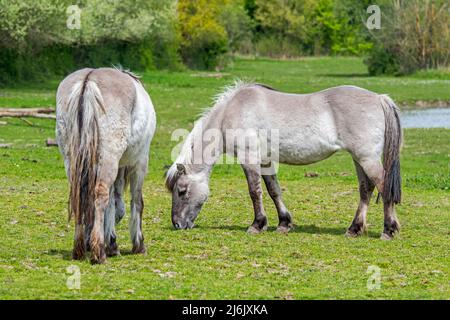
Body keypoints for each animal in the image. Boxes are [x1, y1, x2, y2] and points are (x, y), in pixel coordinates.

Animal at [56, 67, 156, 262]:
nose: (89, 243)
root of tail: (88, 81)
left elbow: (112, 204)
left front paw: (112, 244)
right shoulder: (139, 162)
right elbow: (136, 201)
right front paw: (137, 244)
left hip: (73, 161)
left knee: (79, 196)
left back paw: (80, 248)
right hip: (110, 159)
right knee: (101, 194)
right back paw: (98, 253)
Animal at [167, 82, 402, 240]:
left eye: (181, 190)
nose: (177, 224)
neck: (232, 112)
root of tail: (379, 98)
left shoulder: (249, 159)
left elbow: (255, 192)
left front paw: (257, 225)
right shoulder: (266, 162)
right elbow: (274, 191)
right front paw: (284, 223)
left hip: (366, 158)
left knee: (383, 186)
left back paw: (388, 230)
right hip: (359, 159)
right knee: (366, 189)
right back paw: (354, 229)